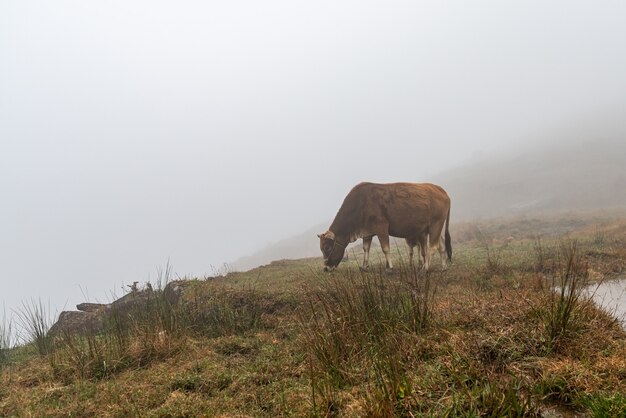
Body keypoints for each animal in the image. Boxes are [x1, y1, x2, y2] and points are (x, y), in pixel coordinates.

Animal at [316, 181, 448, 272]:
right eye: (321, 248)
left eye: (327, 247)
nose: (326, 268)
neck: (360, 205)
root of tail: (442, 191)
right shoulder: (367, 232)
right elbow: (366, 249)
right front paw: (364, 266)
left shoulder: (381, 228)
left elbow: (385, 248)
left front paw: (390, 268)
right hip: (435, 228)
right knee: (441, 245)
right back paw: (443, 267)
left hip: (436, 224)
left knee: (433, 247)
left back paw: (425, 268)